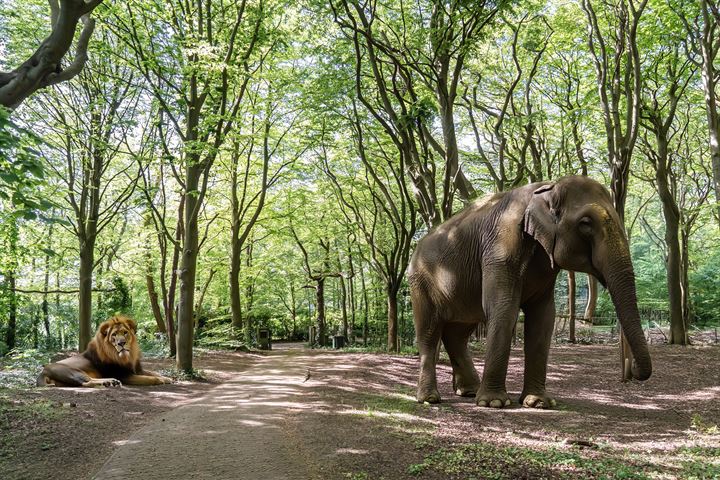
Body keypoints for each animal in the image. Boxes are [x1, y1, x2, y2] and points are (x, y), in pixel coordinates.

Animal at [37, 316, 174, 386]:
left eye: (125, 332)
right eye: (114, 335)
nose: (121, 343)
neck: (127, 356)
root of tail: (42, 373)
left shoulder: (137, 369)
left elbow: (153, 373)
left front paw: (168, 378)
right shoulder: (124, 375)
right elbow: (149, 378)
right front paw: (160, 380)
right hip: (71, 371)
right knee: (86, 382)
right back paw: (109, 381)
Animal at [410, 176, 652, 408]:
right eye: (585, 224)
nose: (633, 370)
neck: (548, 187)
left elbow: (543, 317)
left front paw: (539, 402)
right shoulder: (500, 248)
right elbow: (503, 308)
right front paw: (494, 402)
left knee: (457, 334)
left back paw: (469, 391)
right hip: (420, 283)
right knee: (429, 332)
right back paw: (430, 398)